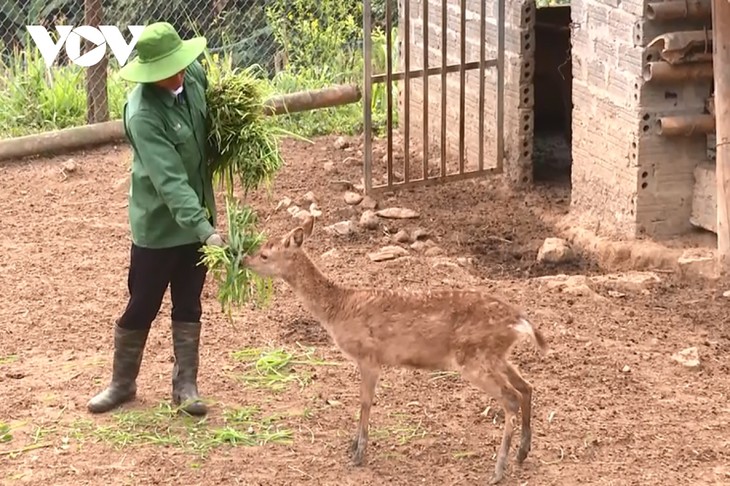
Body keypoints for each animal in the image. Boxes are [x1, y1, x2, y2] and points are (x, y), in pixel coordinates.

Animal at [243, 215, 544, 484]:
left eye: (265, 254)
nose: (244, 259)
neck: (337, 309)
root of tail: (520, 322)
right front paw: (353, 447)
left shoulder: (369, 356)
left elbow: (365, 402)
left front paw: (358, 454)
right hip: (495, 355)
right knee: (526, 386)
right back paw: (522, 453)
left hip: (473, 357)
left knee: (511, 397)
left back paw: (499, 470)